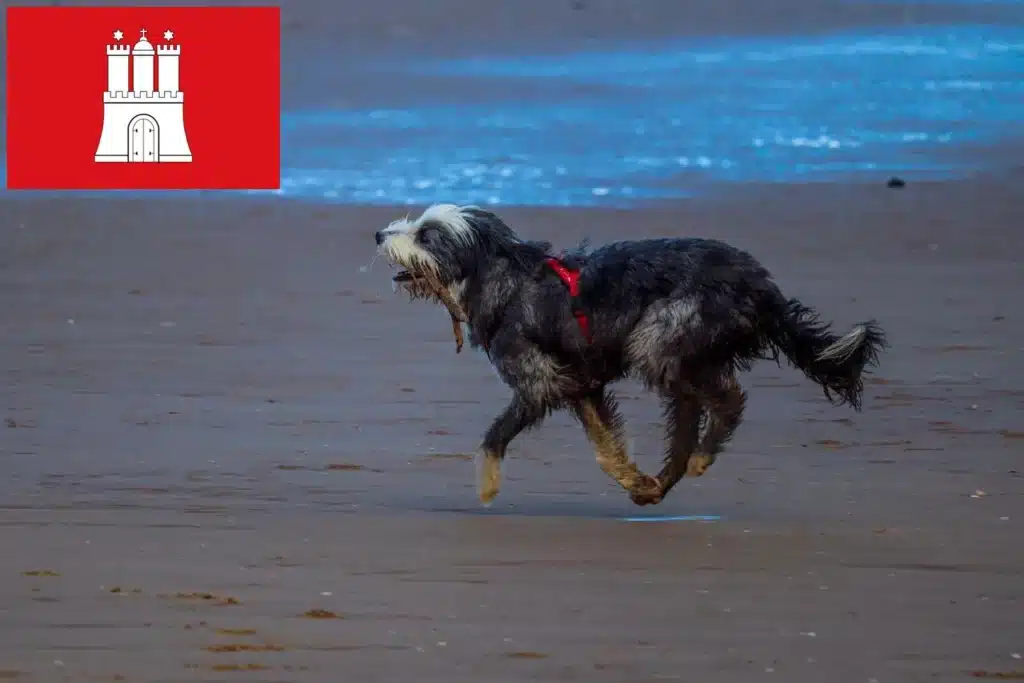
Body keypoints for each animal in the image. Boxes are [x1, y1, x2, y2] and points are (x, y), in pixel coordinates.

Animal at [372, 202, 884, 507]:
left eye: (426, 235)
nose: (378, 234)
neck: (503, 278)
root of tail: (760, 283)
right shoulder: (582, 384)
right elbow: (606, 446)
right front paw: (633, 480)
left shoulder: (541, 381)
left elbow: (495, 435)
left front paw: (487, 482)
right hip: (678, 351)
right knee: (690, 414)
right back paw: (663, 481)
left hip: (659, 338)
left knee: (727, 400)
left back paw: (697, 459)